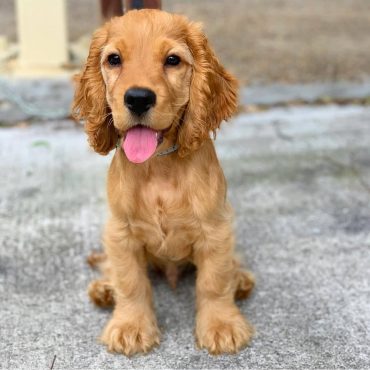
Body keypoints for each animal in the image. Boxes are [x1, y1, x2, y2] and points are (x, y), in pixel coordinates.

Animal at [73, 9, 256, 356]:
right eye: (114, 59)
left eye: (172, 60)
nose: (138, 98)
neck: (158, 166)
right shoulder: (120, 232)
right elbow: (130, 281)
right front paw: (130, 326)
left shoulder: (216, 229)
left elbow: (214, 281)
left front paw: (221, 326)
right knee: (111, 270)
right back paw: (104, 289)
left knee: (232, 265)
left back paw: (240, 280)